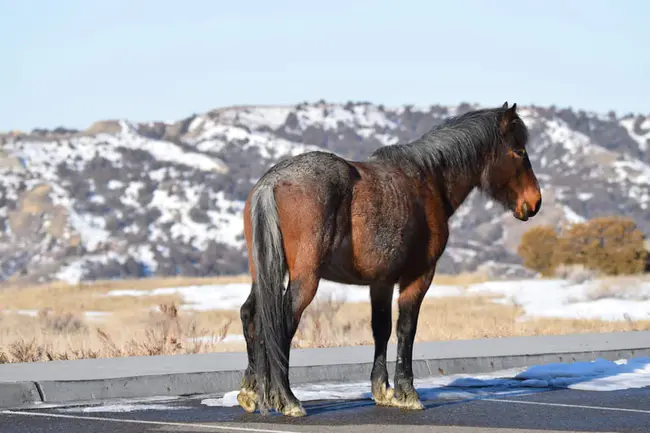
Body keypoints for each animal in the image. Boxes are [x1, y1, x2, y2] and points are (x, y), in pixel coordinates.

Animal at [235, 100, 540, 416]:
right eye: (519, 151)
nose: (534, 202)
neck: (427, 179)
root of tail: (272, 182)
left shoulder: (380, 282)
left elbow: (380, 329)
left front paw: (382, 389)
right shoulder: (419, 276)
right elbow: (406, 328)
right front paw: (407, 392)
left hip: (265, 272)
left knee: (253, 316)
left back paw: (252, 391)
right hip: (305, 278)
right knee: (281, 322)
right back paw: (288, 399)